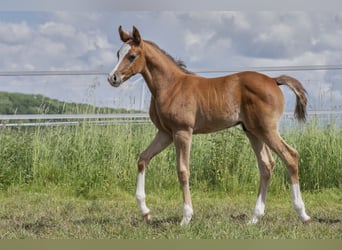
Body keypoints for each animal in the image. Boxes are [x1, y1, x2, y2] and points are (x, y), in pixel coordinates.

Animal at [108, 25, 312, 227]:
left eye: (132, 56)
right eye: (118, 54)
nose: (113, 78)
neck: (171, 86)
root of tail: (273, 80)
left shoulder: (182, 132)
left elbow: (182, 170)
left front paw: (186, 217)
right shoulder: (165, 133)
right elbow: (143, 159)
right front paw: (146, 212)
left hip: (267, 129)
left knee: (290, 156)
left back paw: (302, 214)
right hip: (253, 131)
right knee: (266, 164)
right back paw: (255, 217)